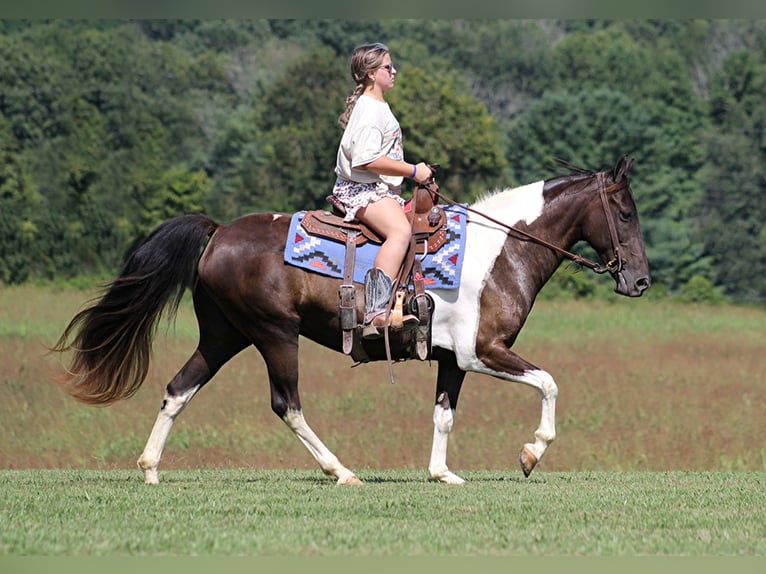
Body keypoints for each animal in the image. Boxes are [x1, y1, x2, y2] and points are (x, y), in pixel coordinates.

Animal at [54, 154, 652, 486]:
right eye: (625, 213)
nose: (640, 282)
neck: (498, 251)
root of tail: (219, 231)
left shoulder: (453, 360)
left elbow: (444, 416)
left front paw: (442, 474)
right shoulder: (483, 352)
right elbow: (548, 382)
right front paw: (531, 454)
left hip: (225, 336)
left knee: (179, 388)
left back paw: (151, 469)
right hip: (274, 335)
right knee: (287, 404)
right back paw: (340, 471)